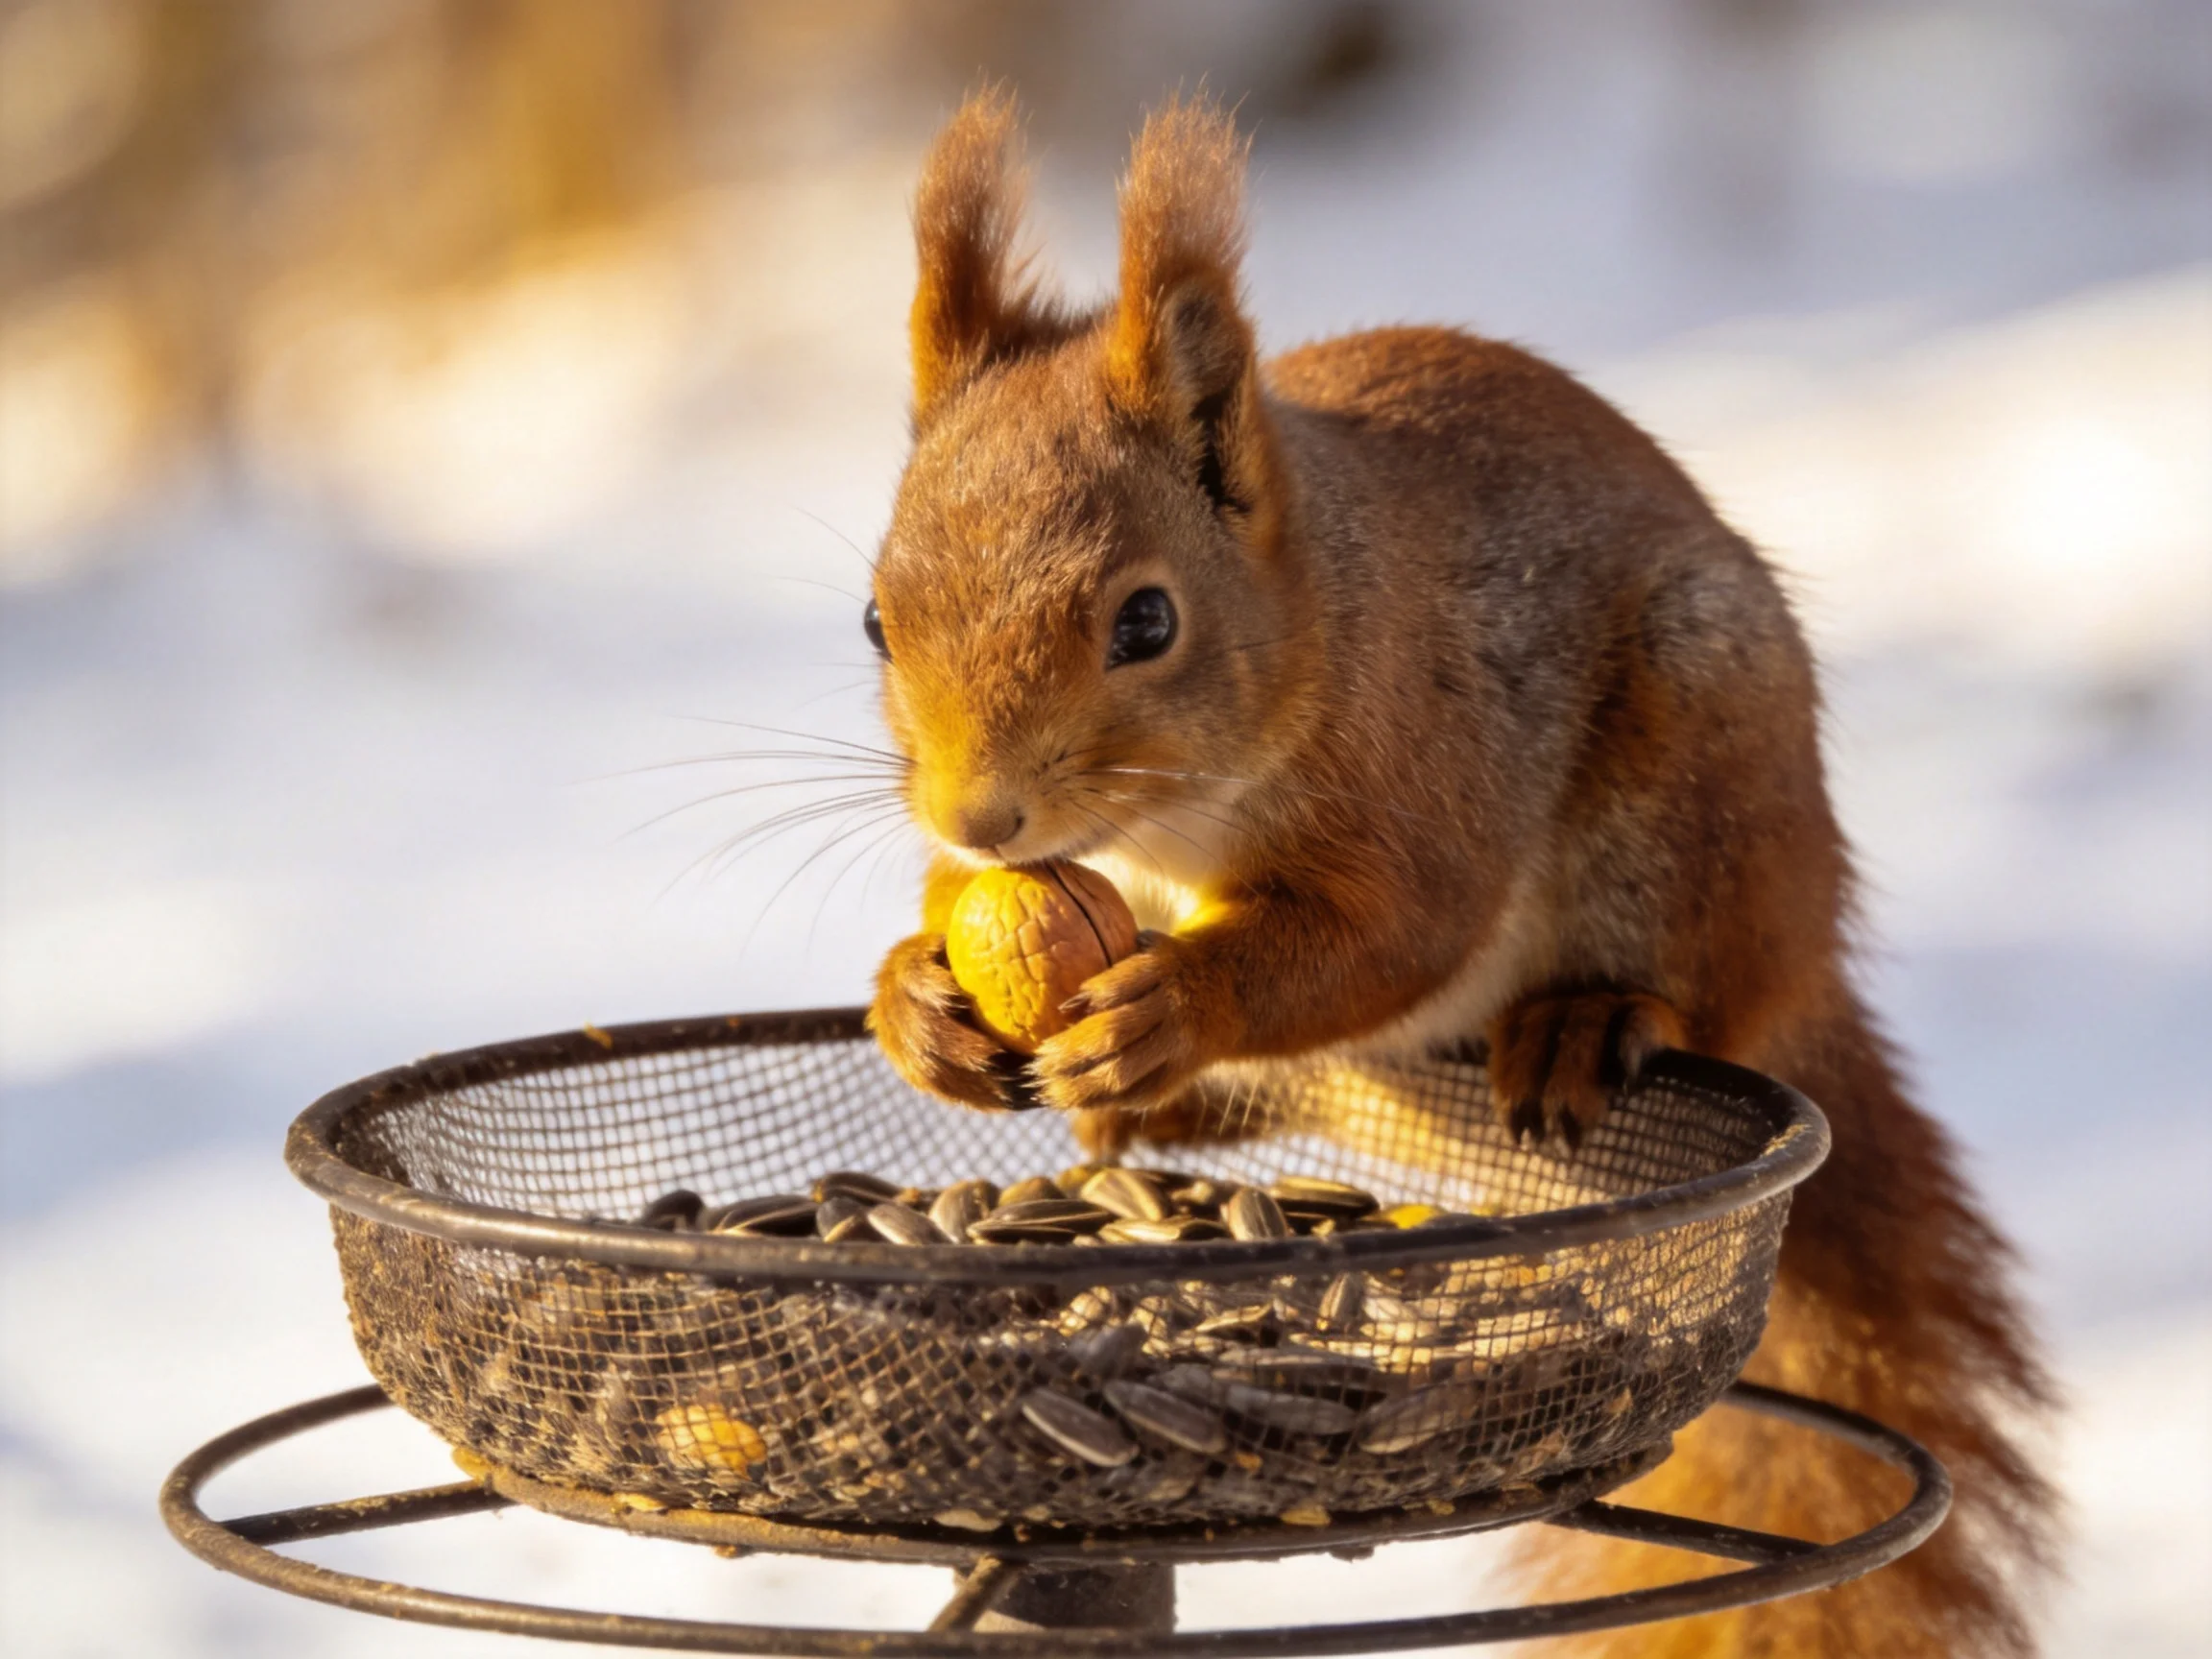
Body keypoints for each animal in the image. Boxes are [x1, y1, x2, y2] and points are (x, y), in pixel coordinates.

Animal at [861, 91, 2057, 1657]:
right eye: (875, 621)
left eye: (1146, 622)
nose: (985, 815)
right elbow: (955, 920)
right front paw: (916, 996)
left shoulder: (1424, 763)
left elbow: (1391, 933)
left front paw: (1172, 1006)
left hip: (1706, 778)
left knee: (1703, 991)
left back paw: (1579, 1021)